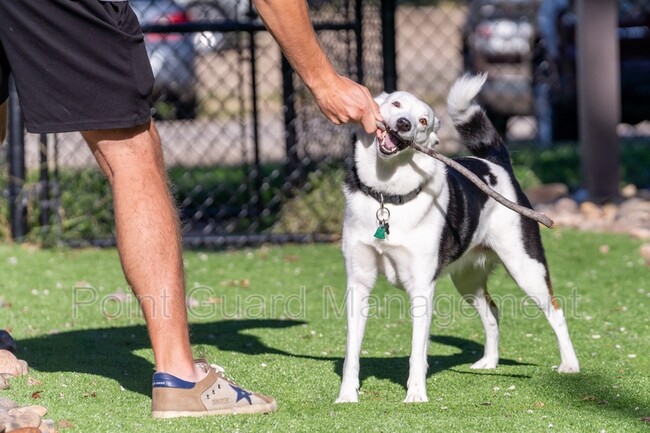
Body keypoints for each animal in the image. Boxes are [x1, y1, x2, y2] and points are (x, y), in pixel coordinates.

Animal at [334, 73, 576, 402]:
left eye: (423, 120)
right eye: (396, 104)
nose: (404, 124)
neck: (388, 195)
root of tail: (499, 166)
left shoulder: (421, 288)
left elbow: (417, 352)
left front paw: (416, 395)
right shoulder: (358, 283)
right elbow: (352, 351)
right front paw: (347, 395)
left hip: (526, 268)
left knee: (556, 312)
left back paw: (570, 365)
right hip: (468, 280)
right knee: (492, 311)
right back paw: (489, 361)